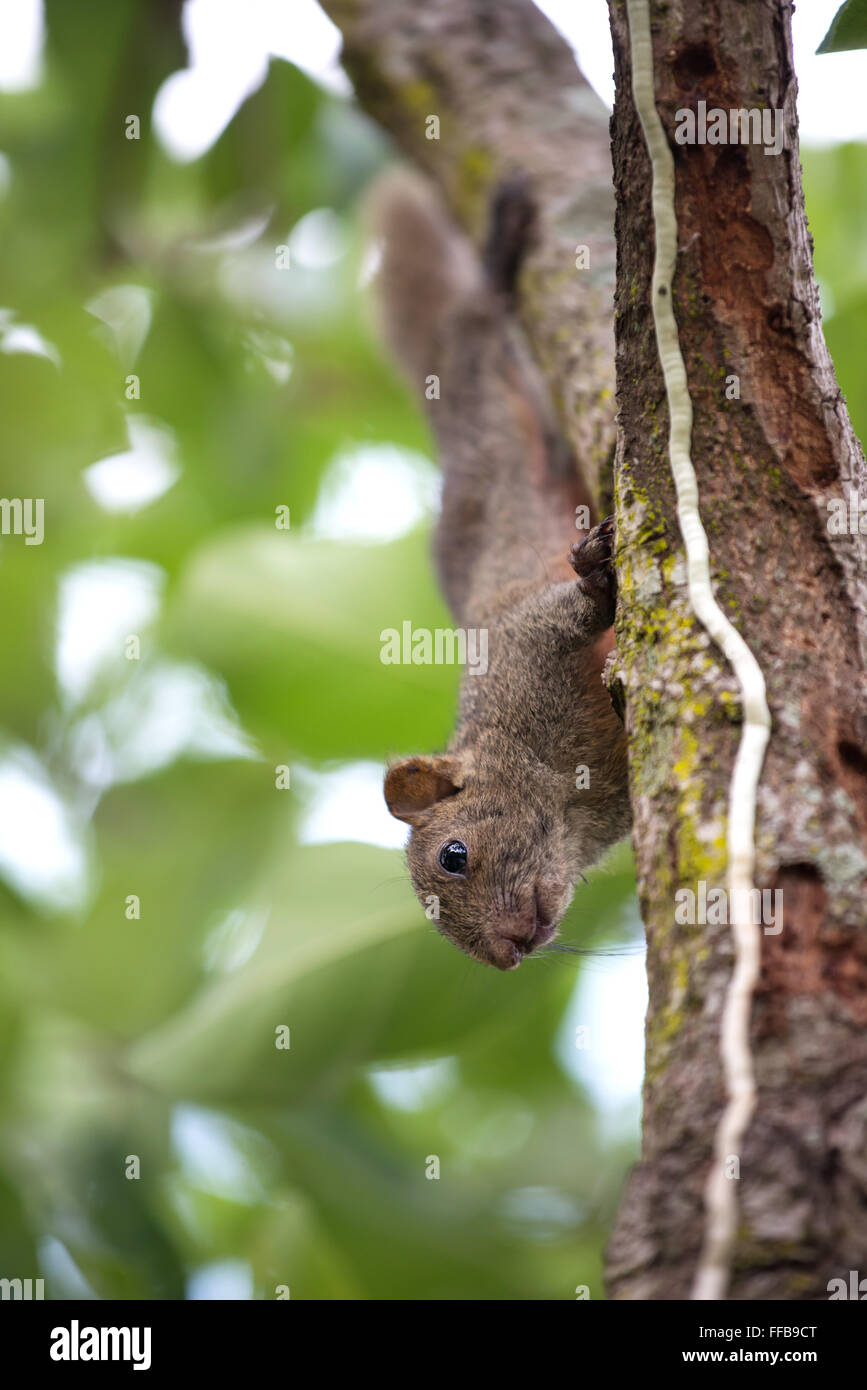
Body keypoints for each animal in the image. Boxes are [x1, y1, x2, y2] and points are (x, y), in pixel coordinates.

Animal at [366, 168, 630, 973]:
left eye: (453, 855)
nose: (506, 953)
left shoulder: (524, 644)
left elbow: (569, 613)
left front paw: (594, 575)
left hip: (480, 375)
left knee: (475, 318)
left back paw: (498, 249)